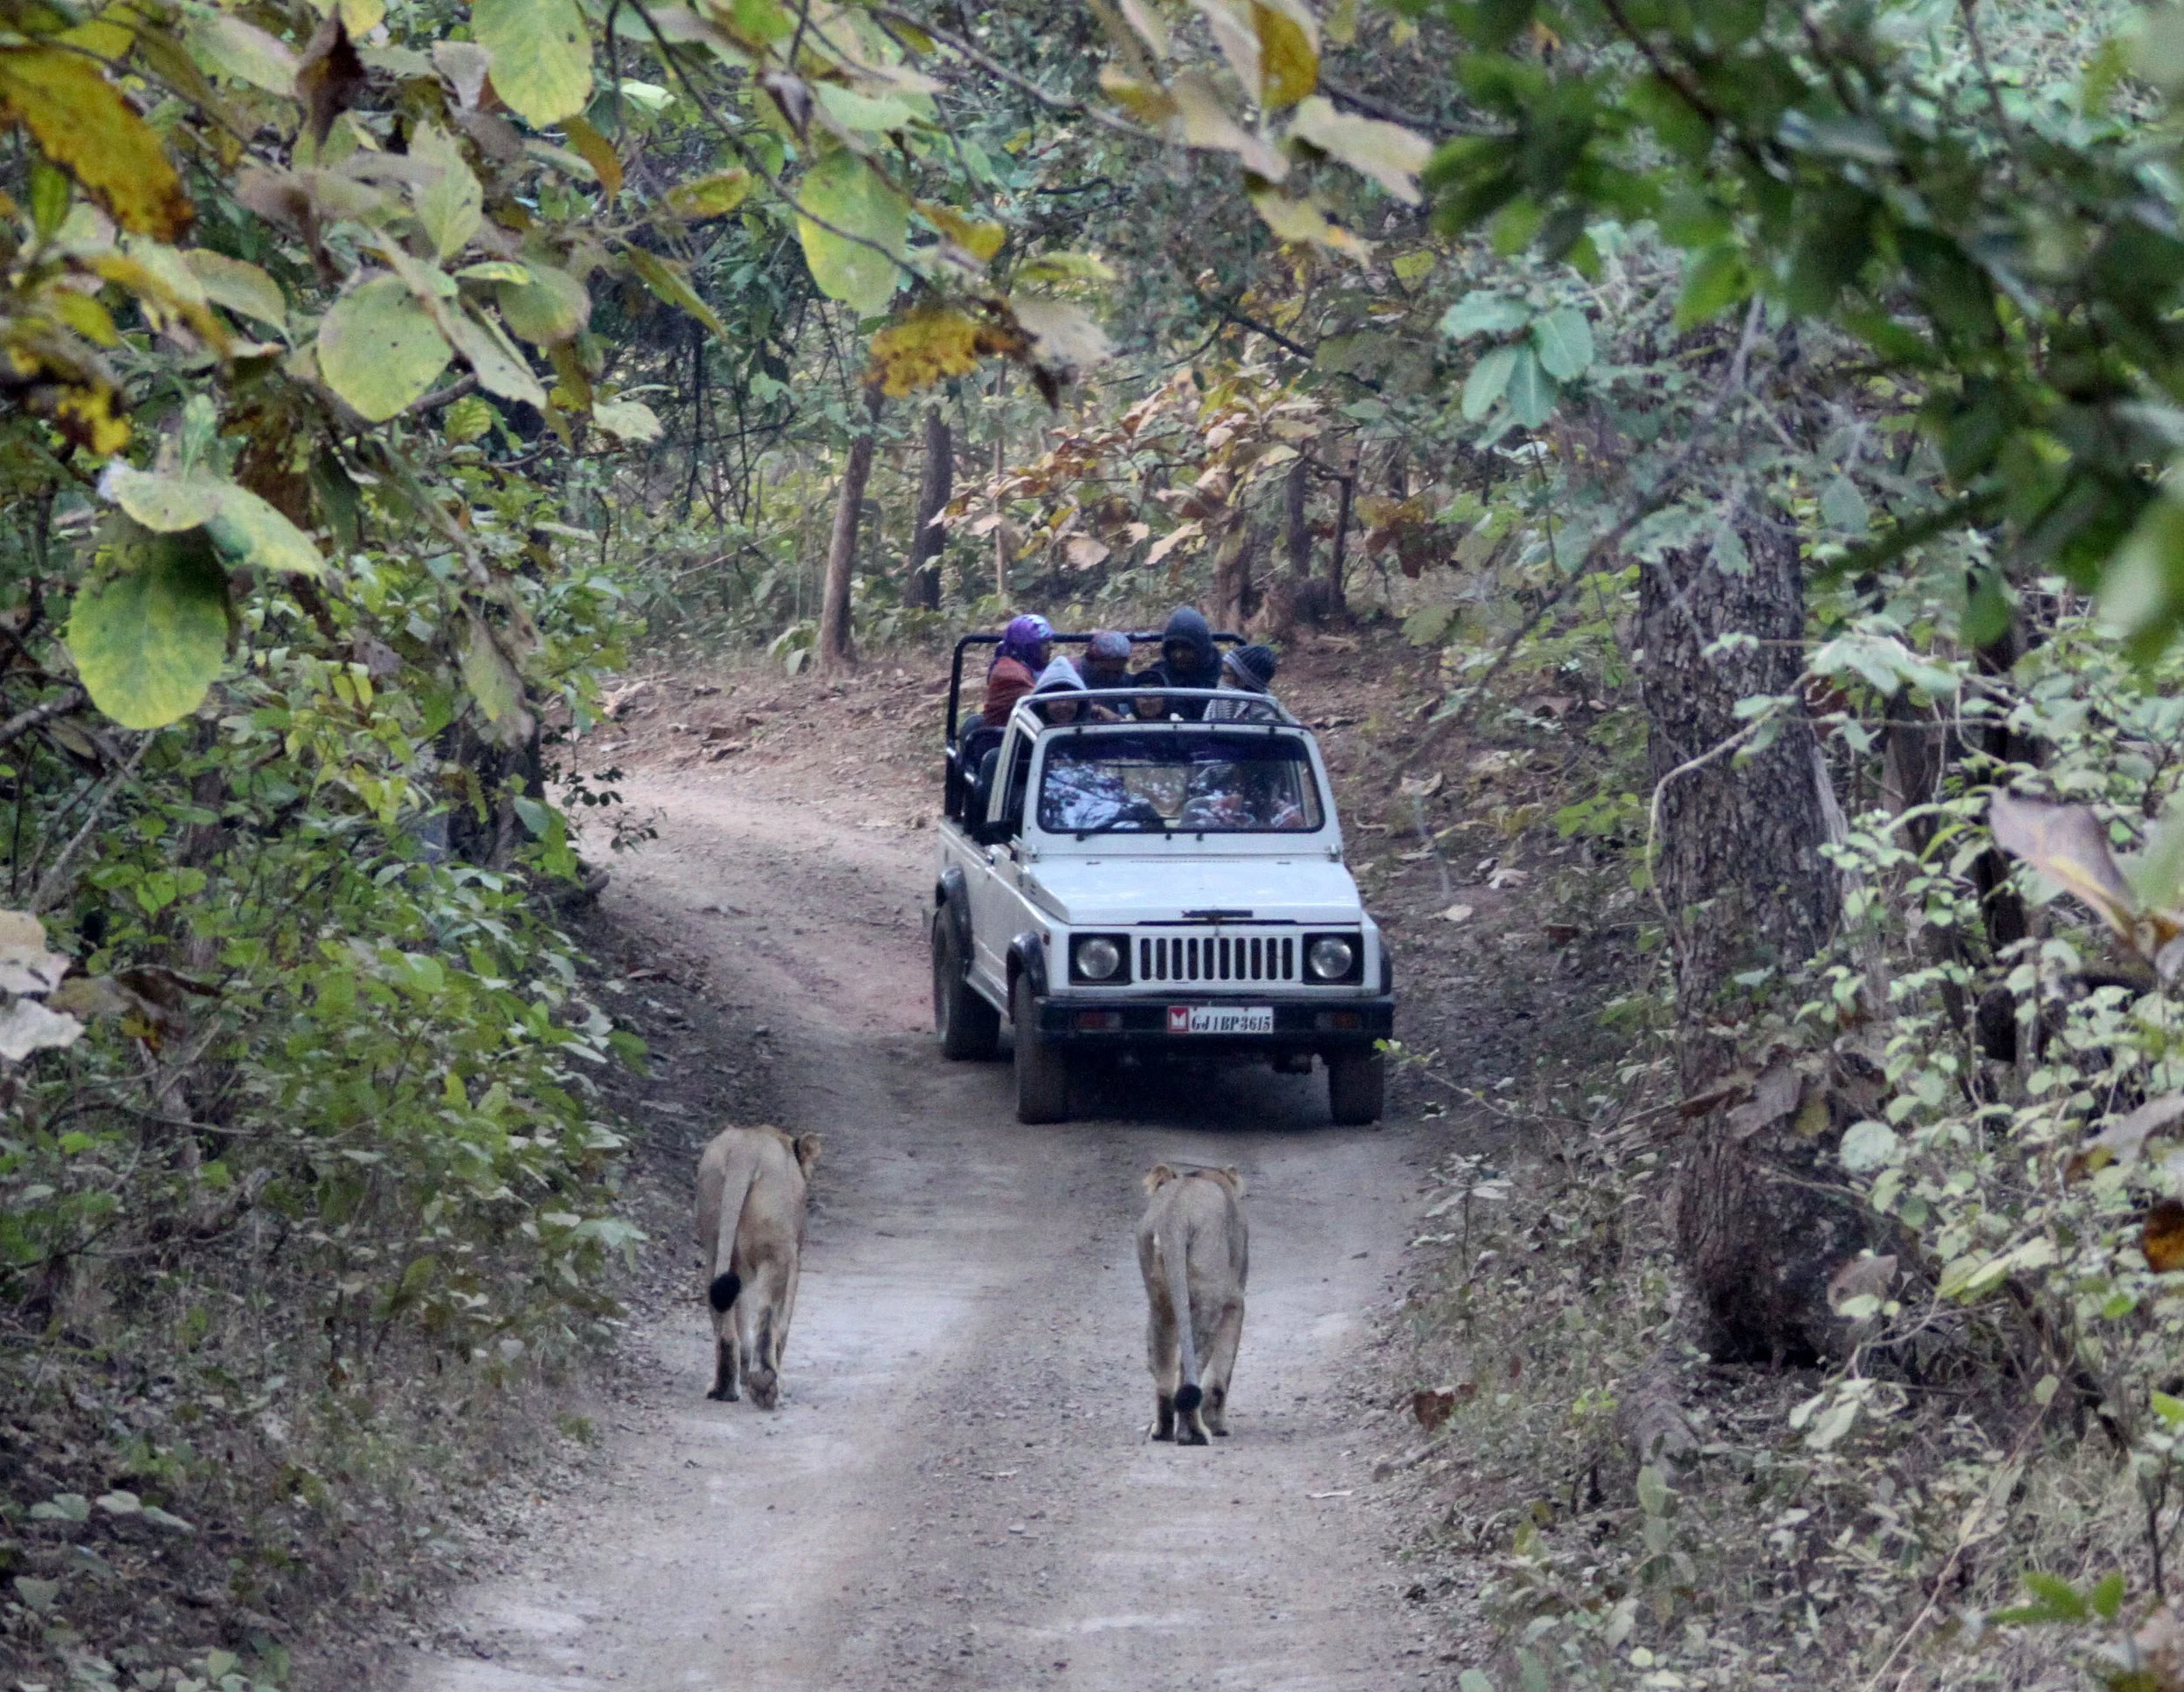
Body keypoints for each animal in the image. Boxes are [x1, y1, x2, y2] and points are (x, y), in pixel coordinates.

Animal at [695, 1125, 820, 1409]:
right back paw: (766, 1384)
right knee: (767, 1317)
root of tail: (745, 1152)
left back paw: (724, 1389)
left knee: (725, 1321)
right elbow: (782, 1326)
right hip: (775, 1254)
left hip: (714, 1249)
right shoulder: (794, 1260)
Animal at [1135, 1163, 1248, 1444]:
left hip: (1159, 1301)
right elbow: (1221, 1372)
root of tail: (1173, 1215)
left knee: (1163, 1369)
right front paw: (1219, 1425)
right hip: (1209, 1298)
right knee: (1191, 1368)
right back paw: (1194, 1434)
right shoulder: (1235, 1302)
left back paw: (1162, 1432)